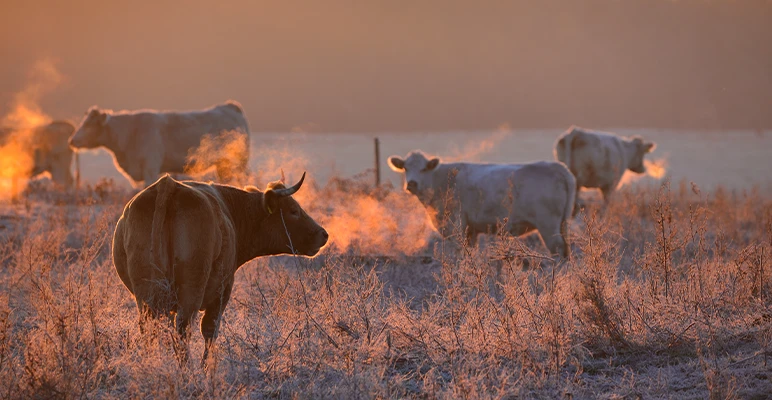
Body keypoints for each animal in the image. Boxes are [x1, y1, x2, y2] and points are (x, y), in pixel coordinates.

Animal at [68, 101, 250, 188]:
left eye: (89, 124)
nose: (72, 140)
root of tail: (230, 106)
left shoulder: (150, 167)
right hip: (223, 165)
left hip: (239, 163)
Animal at [112, 172, 328, 363]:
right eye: (293, 210)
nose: (323, 234)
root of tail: (168, 186)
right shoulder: (222, 293)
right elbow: (210, 330)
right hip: (191, 292)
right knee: (183, 329)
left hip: (147, 296)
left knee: (152, 330)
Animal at [387, 151, 575, 259]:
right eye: (405, 168)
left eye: (424, 168)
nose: (412, 183)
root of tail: (559, 168)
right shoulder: (471, 229)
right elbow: (470, 251)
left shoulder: (456, 224)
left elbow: (458, 251)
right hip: (563, 223)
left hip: (548, 224)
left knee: (558, 249)